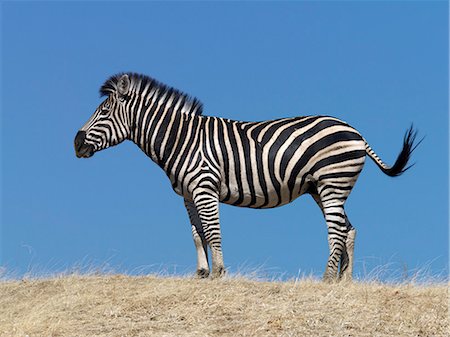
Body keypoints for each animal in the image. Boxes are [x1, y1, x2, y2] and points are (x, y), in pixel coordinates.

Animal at [74, 73, 418, 280]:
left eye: (103, 113)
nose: (75, 144)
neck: (181, 139)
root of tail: (356, 132)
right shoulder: (187, 194)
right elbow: (196, 234)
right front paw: (201, 274)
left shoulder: (205, 186)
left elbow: (213, 232)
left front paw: (219, 273)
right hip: (322, 189)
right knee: (350, 230)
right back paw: (344, 282)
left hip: (331, 183)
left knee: (336, 232)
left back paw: (325, 279)